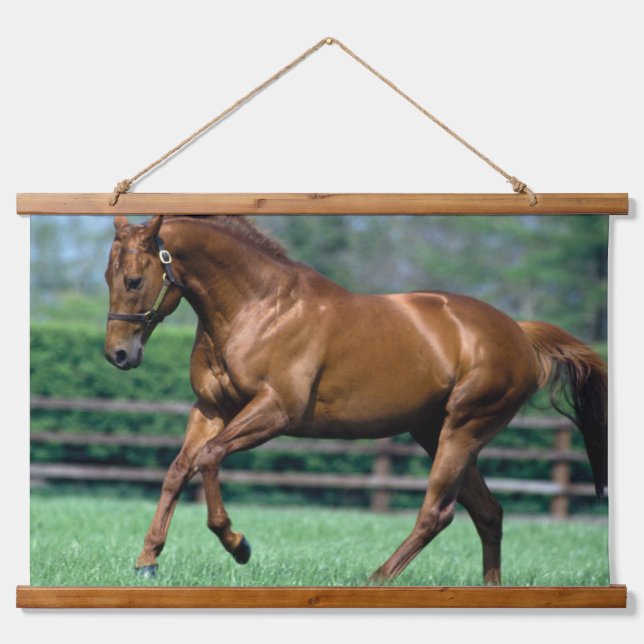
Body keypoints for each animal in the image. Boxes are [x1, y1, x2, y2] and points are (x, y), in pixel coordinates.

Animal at [104, 214, 607, 585]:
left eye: (134, 280)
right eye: (108, 276)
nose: (118, 355)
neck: (258, 308)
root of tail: (519, 333)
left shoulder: (274, 412)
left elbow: (208, 458)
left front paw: (238, 544)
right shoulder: (211, 410)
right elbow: (177, 470)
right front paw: (147, 561)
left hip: (463, 432)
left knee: (437, 513)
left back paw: (377, 578)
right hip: (434, 432)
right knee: (488, 512)